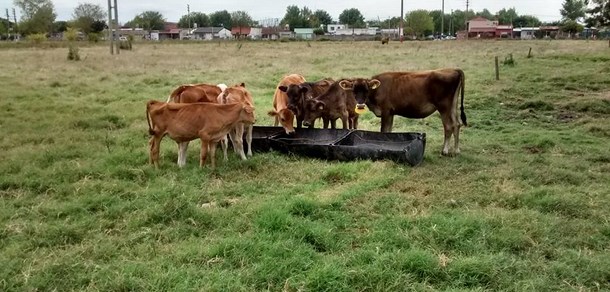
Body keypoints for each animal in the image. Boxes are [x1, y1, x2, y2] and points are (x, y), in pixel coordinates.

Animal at [338, 68, 466, 156]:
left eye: (366, 89)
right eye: (354, 90)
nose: (360, 104)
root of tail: (453, 69)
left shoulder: (386, 111)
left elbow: (383, 131)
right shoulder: (391, 113)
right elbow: (388, 131)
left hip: (444, 106)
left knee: (449, 126)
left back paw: (445, 151)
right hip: (453, 105)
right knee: (457, 124)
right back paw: (456, 150)